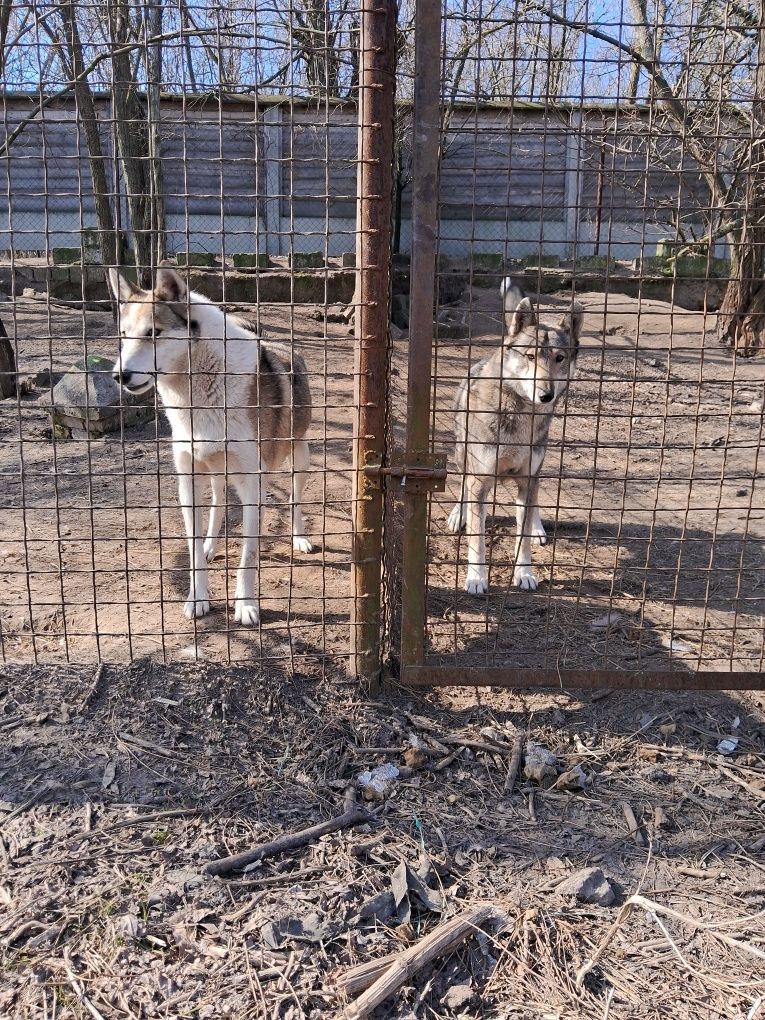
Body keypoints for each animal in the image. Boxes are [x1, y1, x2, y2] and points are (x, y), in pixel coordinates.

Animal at [109, 263, 312, 624]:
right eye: (125, 335)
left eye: (153, 333)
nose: (120, 376)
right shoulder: (188, 482)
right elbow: (192, 550)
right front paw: (198, 598)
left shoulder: (253, 484)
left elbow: (248, 555)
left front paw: (245, 605)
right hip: (215, 473)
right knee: (218, 502)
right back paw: (210, 545)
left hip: (299, 460)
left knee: (295, 500)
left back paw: (299, 537)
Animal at [446, 279, 583, 595]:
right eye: (530, 357)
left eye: (559, 358)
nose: (546, 395)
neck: (521, 418)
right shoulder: (479, 482)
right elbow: (477, 538)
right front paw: (476, 579)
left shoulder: (527, 478)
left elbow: (522, 538)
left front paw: (525, 573)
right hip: (462, 456)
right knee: (461, 488)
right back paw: (459, 515)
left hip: (535, 473)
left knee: (532, 506)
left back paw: (537, 527)